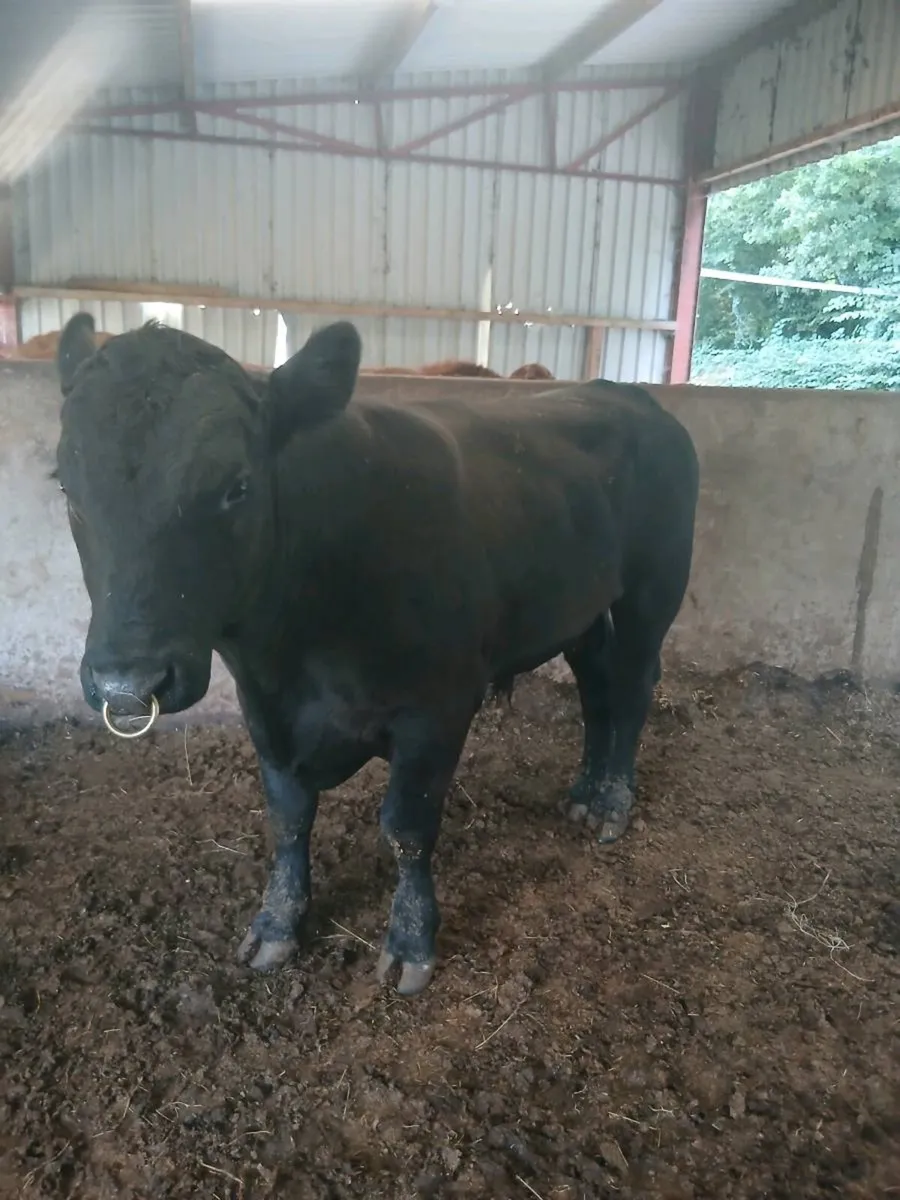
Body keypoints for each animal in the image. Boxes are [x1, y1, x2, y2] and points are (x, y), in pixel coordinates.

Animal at [54, 312, 699, 996]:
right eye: (66, 485)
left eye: (237, 487)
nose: (127, 681)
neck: (294, 655)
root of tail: (622, 392)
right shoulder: (265, 710)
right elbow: (288, 818)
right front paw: (276, 924)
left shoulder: (438, 708)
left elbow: (406, 828)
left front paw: (411, 940)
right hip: (584, 611)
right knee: (596, 691)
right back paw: (583, 792)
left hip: (652, 593)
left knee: (632, 690)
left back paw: (613, 803)